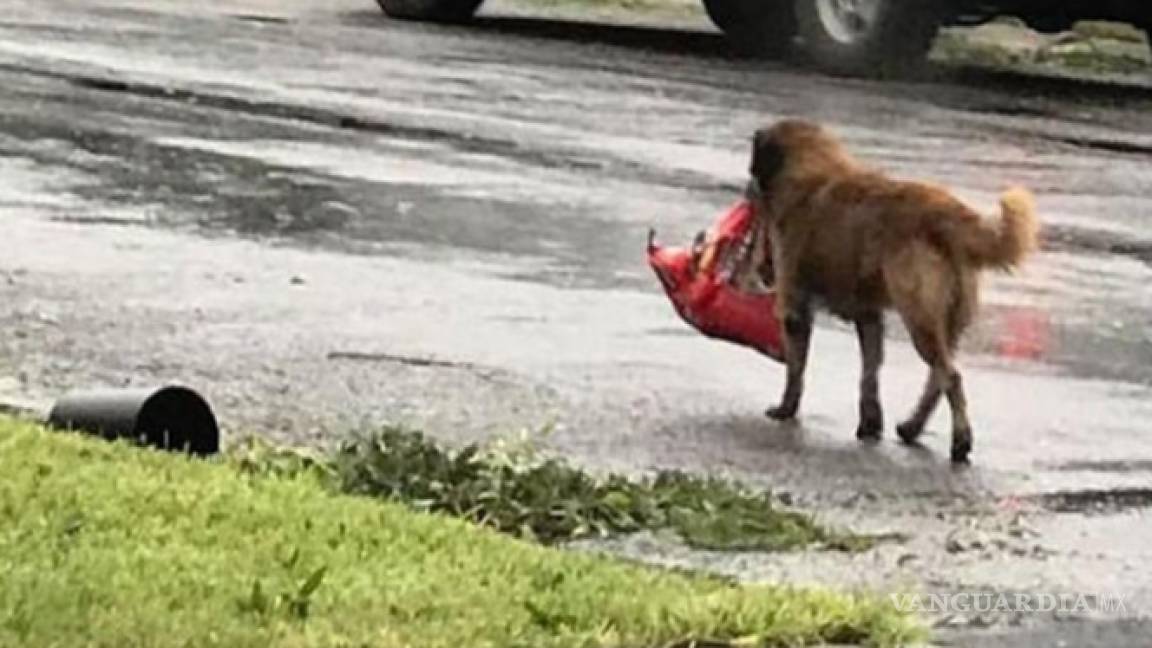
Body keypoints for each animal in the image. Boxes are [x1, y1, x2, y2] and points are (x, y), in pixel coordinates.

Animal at [751, 118, 1041, 461]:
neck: (812, 168)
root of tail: (945, 213)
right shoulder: (869, 316)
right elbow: (870, 373)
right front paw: (870, 424)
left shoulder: (795, 307)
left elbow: (797, 369)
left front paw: (786, 409)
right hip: (945, 323)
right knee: (938, 378)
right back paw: (911, 427)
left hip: (919, 318)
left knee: (951, 377)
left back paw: (960, 441)